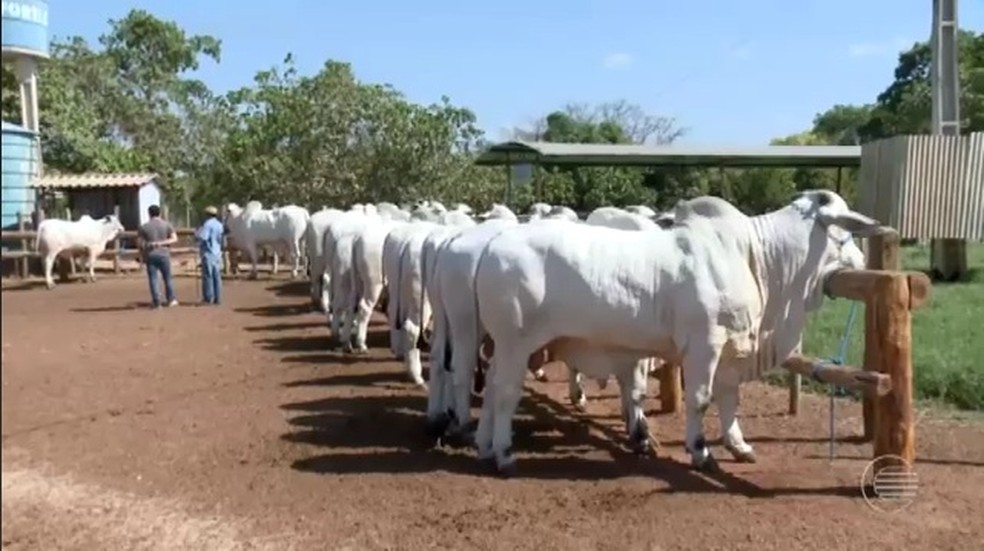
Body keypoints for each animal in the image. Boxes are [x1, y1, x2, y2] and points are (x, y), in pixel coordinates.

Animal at [472, 190, 880, 474]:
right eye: (846, 237)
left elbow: (729, 398)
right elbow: (700, 399)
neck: (759, 259)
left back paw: (485, 446)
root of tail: (490, 246)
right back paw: (504, 454)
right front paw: (700, 451)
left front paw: (739, 446)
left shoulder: (731, 348)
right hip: (516, 342)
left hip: (504, 346)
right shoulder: (705, 345)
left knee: (491, 387)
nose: (864, 262)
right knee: (505, 393)